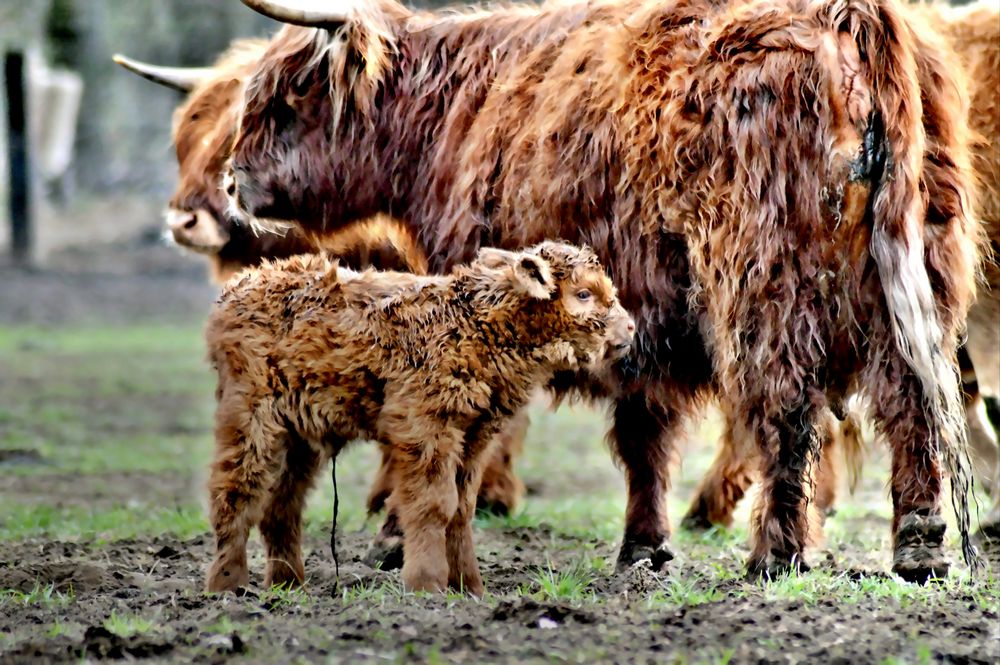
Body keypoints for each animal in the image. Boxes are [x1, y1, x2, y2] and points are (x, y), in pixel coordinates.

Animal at [203, 241, 632, 592]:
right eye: (583, 293)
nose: (629, 328)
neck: (475, 323)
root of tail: (240, 284)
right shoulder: (426, 426)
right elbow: (432, 504)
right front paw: (427, 584)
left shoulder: (475, 436)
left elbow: (461, 509)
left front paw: (470, 587)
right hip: (249, 414)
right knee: (235, 491)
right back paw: (228, 585)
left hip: (300, 434)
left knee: (281, 506)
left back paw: (287, 584)